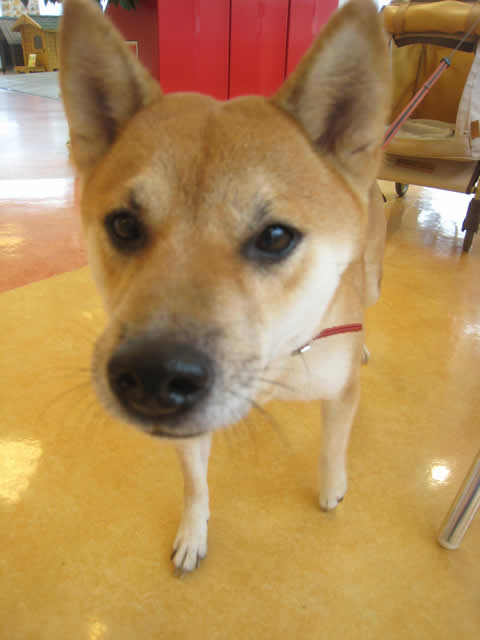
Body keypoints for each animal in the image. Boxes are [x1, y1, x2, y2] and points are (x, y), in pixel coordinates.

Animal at [60, 0, 390, 573]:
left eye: (276, 237)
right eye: (123, 225)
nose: (152, 375)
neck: (276, 362)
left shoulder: (338, 391)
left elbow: (333, 446)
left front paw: (331, 488)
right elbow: (194, 485)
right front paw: (194, 533)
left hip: (369, 282)